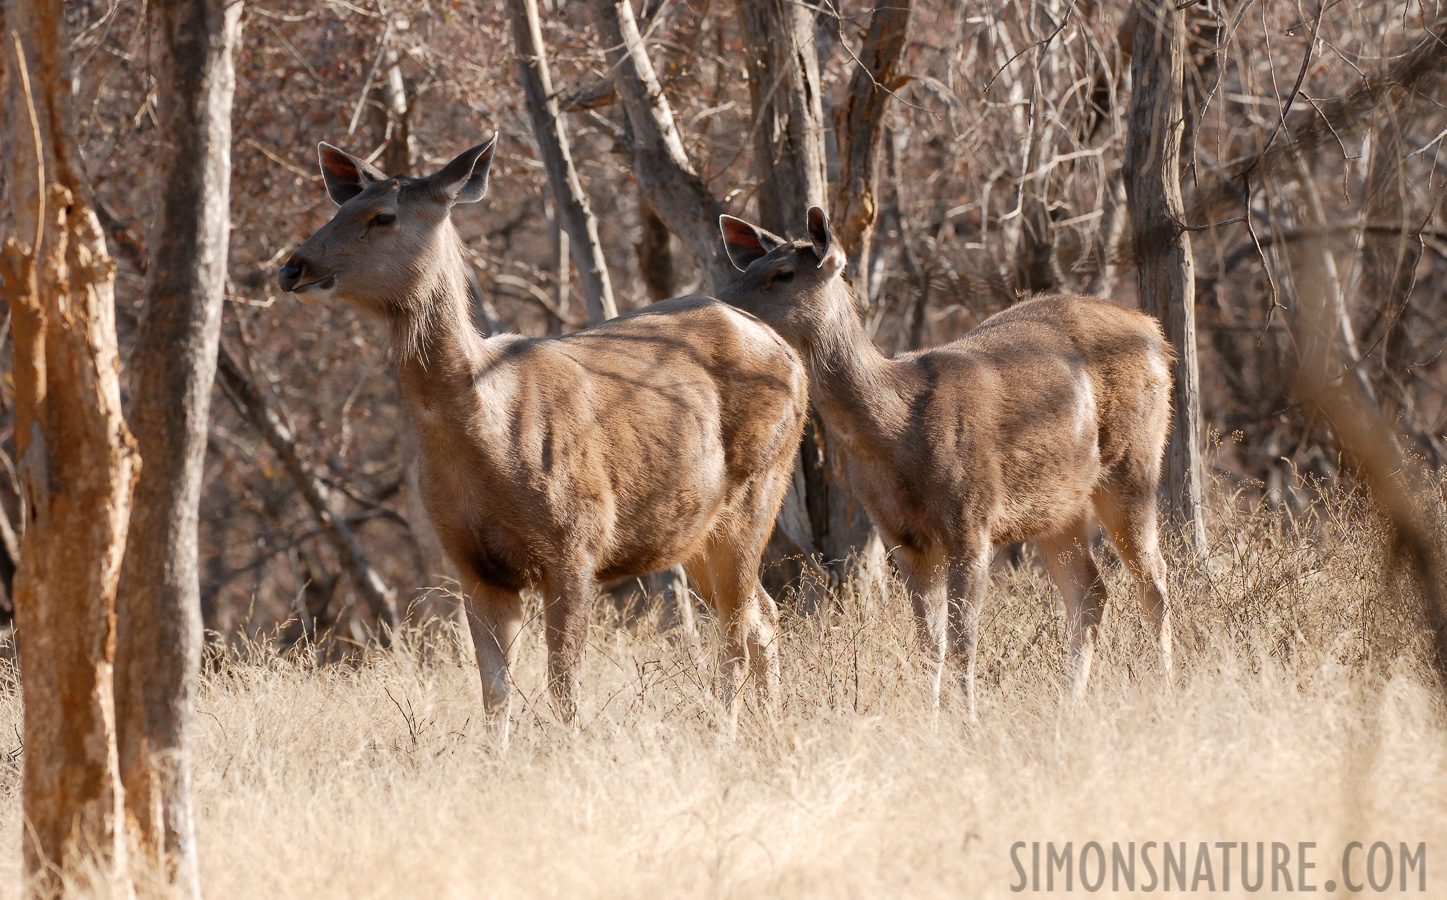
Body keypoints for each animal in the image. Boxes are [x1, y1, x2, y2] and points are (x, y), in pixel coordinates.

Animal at [276, 136, 810, 740]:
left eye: (382, 215)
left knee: (738, 633)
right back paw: (769, 727)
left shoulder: (577, 542)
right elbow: (494, 693)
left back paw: (728, 732)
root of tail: (789, 353)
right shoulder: (472, 564)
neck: (489, 440)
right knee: (762, 618)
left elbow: (564, 687)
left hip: (757, 488)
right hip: (693, 529)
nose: (293, 267)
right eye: (339, 207)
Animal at [714, 208, 1174, 723]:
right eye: (747, 269)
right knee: (1091, 594)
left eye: (783, 273)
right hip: (1058, 506)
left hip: (1135, 460)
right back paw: (1069, 702)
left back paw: (1166, 691)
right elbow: (928, 645)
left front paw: (968, 722)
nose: (721, 305)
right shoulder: (902, 537)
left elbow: (962, 642)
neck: (896, 430)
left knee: (1154, 583)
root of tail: (1154, 332)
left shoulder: (971, 520)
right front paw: (932, 722)